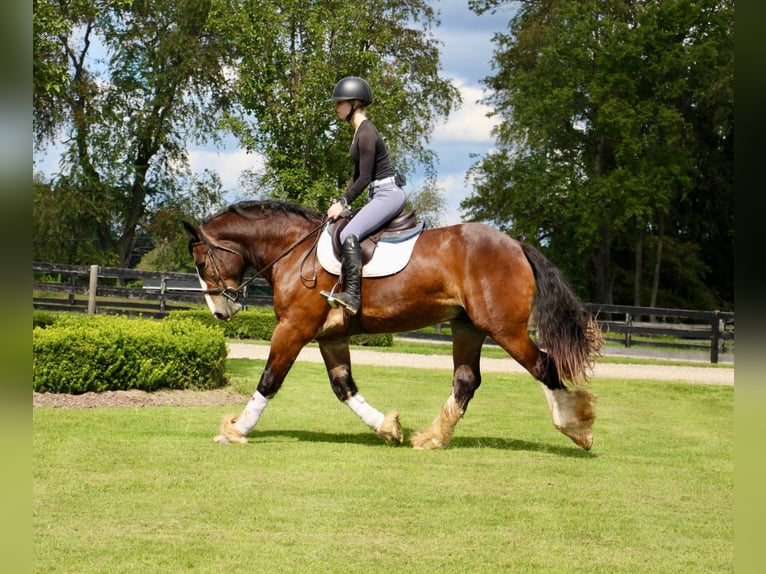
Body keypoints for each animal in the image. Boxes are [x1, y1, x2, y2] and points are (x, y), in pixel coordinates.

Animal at [183, 200, 604, 452]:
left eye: (202, 264)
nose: (220, 312)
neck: (295, 250)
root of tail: (516, 245)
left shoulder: (293, 328)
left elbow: (269, 379)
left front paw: (236, 429)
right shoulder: (329, 336)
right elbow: (344, 387)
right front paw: (388, 427)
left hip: (505, 328)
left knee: (543, 366)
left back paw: (577, 428)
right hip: (467, 327)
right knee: (466, 380)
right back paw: (432, 437)